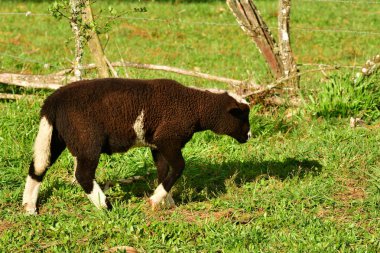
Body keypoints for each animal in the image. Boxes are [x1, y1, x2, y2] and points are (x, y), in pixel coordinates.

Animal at [22, 78, 251, 213]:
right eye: (241, 116)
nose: (249, 136)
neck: (195, 108)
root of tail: (52, 102)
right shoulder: (168, 138)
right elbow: (178, 167)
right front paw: (156, 200)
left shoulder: (157, 144)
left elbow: (164, 170)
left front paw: (167, 202)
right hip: (87, 139)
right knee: (83, 175)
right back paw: (105, 206)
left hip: (55, 135)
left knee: (38, 167)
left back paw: (29, 207)